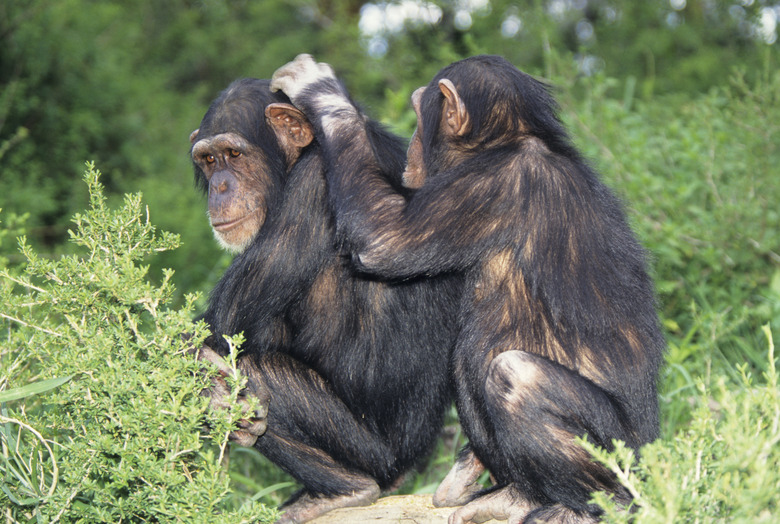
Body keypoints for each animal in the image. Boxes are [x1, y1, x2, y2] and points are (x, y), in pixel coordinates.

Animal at [187, 79, 460, 524]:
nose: (220, 186)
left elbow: (217, 331)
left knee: (255, 369)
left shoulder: (311, 188)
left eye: (234, 155)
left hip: (372, 453)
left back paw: (345, 490)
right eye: (209, 160)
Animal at [272, 54, 664, 524]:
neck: (506, 144)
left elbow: (386, 238)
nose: (410, 146)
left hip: (625, 455)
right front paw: (465, 471)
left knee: (516, 377)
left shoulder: (491, 184)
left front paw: (318, 89)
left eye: (419, 113)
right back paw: (513, 496)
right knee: (467, 357)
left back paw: (591, 507)